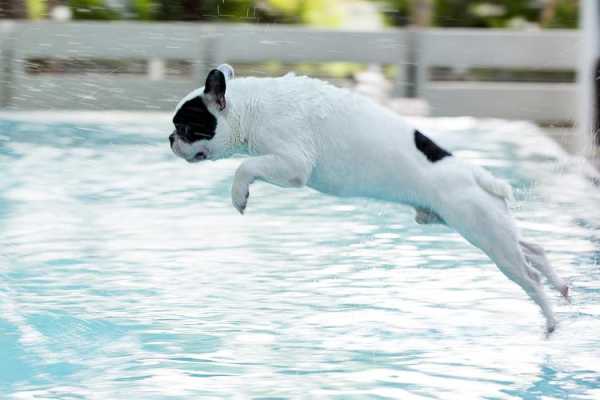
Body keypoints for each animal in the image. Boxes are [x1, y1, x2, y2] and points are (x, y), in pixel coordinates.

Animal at [168, 65, 568, 334]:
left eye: (185, 127)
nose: (170, 139)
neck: (251, 107)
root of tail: (473, 174)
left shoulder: (292, 164)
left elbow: (245, 167)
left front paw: (239, 193)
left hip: (487, 237)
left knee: (529, 276)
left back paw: (550, 319)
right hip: (479, 226)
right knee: (533, 248)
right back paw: (560, 285)